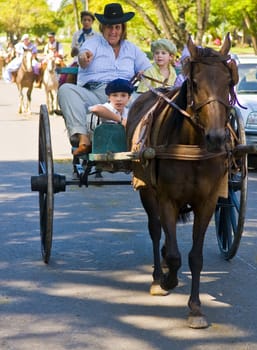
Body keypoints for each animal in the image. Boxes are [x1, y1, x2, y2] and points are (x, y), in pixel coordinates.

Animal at [126, 32, 238, 328]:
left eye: (228, 81)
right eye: (195, 82)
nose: (216, 138)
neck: (191, 145)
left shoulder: (207, 201)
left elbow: (195, 257)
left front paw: (196, 308)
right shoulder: (166, 197)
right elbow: (176, 255)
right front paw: (167, 280)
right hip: (147, 190)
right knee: (155, 228)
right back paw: (158, 275)